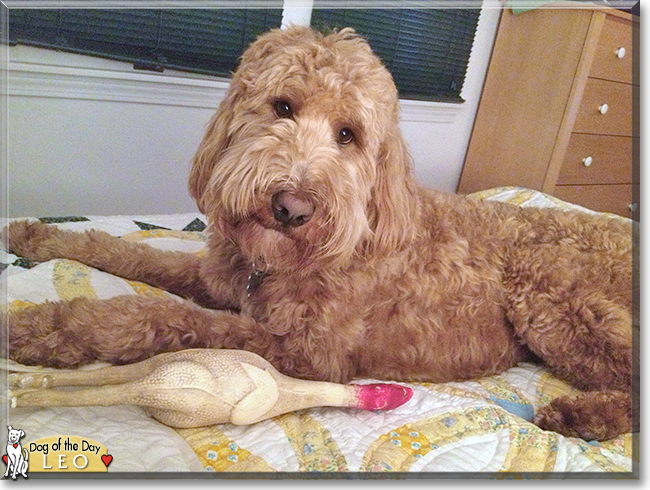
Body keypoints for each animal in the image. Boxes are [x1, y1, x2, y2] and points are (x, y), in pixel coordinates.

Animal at [2, 25, 632, 440]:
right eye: (282, 106)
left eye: (348, 135)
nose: (291, 207)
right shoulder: (217, 277)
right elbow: (121, 251)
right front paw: (38, 239)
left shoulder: (306, 352)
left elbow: (159, 316)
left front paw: (42, 325)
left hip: (550, 295)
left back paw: (583, 415)